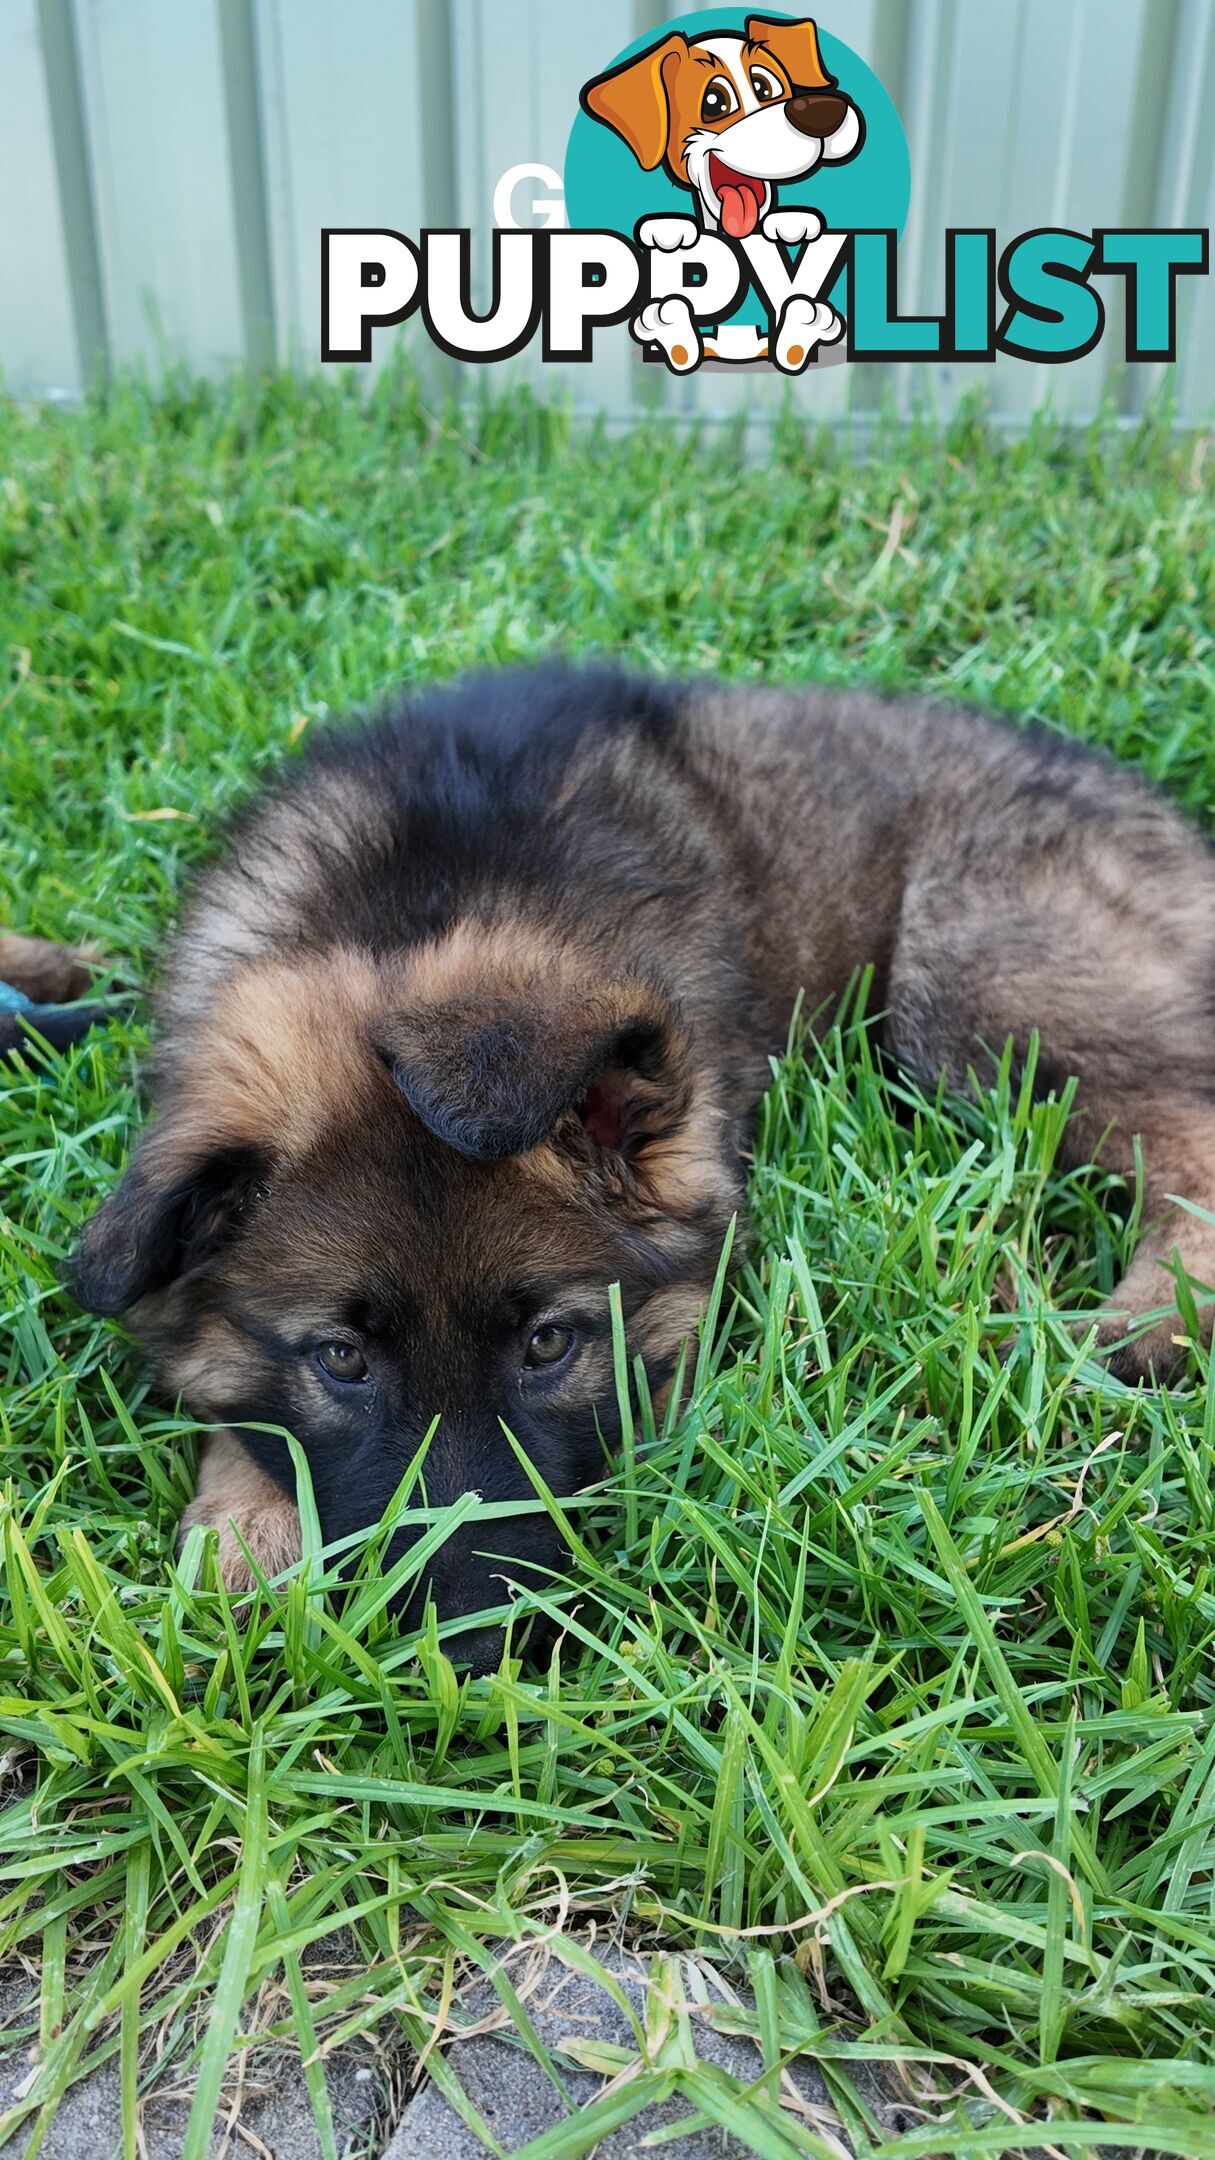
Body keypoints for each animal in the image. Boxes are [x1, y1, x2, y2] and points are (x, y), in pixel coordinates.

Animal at [68, 665, 1215, 1658]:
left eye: (549, 1343)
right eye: (342, 1360)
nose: (475, 1647)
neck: (419, 897)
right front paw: (247, 1525)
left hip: (971, 976)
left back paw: (1134, 1328)